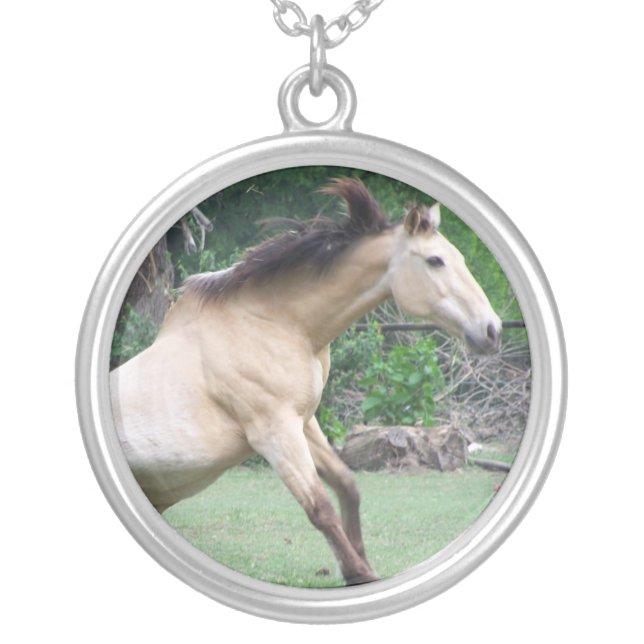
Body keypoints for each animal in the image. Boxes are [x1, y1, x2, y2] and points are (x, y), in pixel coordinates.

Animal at [110, 178, 502, 585]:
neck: (276, 325)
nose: (492, 330)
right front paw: (360, 573)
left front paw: (358, 569)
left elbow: (347, 486)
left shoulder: (304, 422)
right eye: (435, 261)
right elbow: (319, 507)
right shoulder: (273, 432)